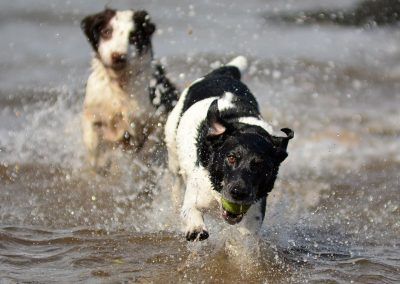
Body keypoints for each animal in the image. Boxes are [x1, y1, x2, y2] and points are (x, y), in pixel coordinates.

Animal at [80, 8, 177, 169]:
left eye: (134, 37)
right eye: (107, 32)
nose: (117, 56)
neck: (120, 85)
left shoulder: (159, 116)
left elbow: (148, 146)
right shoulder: (93, 112)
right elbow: (92, 144)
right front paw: (99, 163)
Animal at [165, 56, 294, 242]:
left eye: (259, 165)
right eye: (231, 158)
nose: (238, 192)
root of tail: (223, 73)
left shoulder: (255, 208)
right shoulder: (197, 194)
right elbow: (191, 210)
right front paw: (196, 229)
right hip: (173, 152)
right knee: (176, 181)